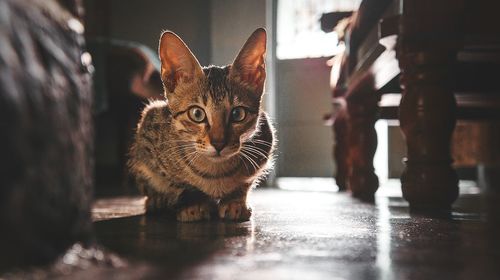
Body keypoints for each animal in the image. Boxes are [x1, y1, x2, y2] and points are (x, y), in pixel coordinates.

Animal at [128, 27, 278, 221]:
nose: (219, 144)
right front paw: (194, 203)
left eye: (238, 114)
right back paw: (158, 200)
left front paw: (235, 201)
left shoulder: (264, 142)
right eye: (197, 114)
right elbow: (178, 183)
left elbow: (246, 182)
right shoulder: (148, 133)